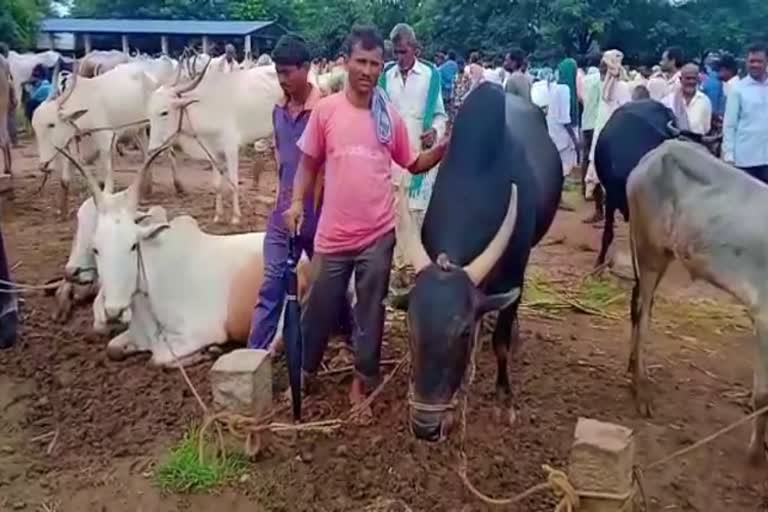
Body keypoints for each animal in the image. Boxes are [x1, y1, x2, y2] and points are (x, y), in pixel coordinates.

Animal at [146, 63, 282, 224]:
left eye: (164, 113)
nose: (152, 149)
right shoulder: (213, 153)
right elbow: (217, 185)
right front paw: (218, 215)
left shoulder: (231, 149)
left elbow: (233, 183)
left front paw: (236, 217)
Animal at [392, 83, 560, 440]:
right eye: (411, 326)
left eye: (463, 331)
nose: (426, 427)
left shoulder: (514, 274)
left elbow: (501, 343)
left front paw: (504, 402)